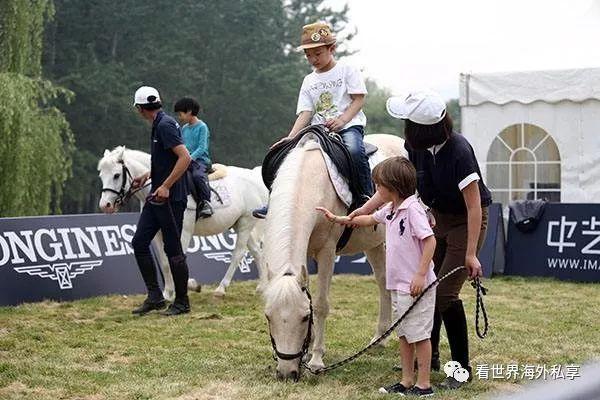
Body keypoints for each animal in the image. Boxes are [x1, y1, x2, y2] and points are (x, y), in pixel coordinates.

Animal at [98, 146, 268, 296]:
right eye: (101, 176)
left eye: (116, 175)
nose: (105, 205)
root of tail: (254, 177)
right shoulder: (157, 234)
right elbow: (165, 262)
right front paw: (168, 293)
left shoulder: (183, 232)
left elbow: (177, 258)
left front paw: (189, 285)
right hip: (238, 224)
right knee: (257, 251)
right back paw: (262, 286)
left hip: (245, 224)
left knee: (238, 254)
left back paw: (221, 289)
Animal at [264, 133, 406, 380]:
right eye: (268, 317)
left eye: (304, 317)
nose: (286, 373)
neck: (309, 182)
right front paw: (308, 350)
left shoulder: (326, 252)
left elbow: (320, 304)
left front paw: (316, 359)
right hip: (374, 243)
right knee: (382, 281)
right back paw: (380, 337)